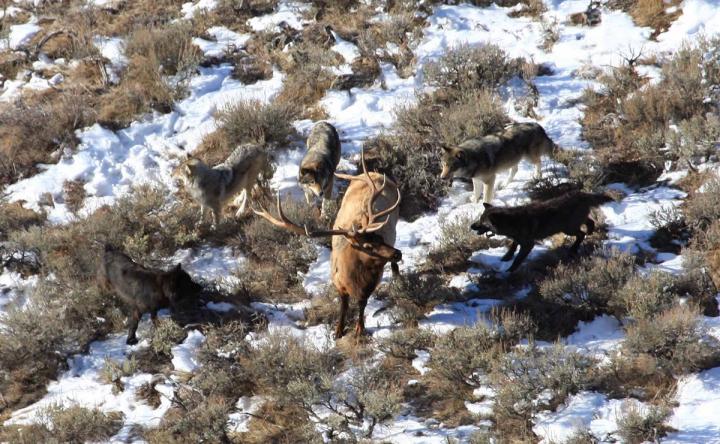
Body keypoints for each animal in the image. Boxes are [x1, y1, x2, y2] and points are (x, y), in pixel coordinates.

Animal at [253, 150, 402, 339]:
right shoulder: (338, 282)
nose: (398, 253)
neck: (353, 277)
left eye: (380, 239)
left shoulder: (371, 283)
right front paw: (338, 331)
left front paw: (359, 329)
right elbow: (344, 306)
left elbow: (362, 304)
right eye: (368, 246)